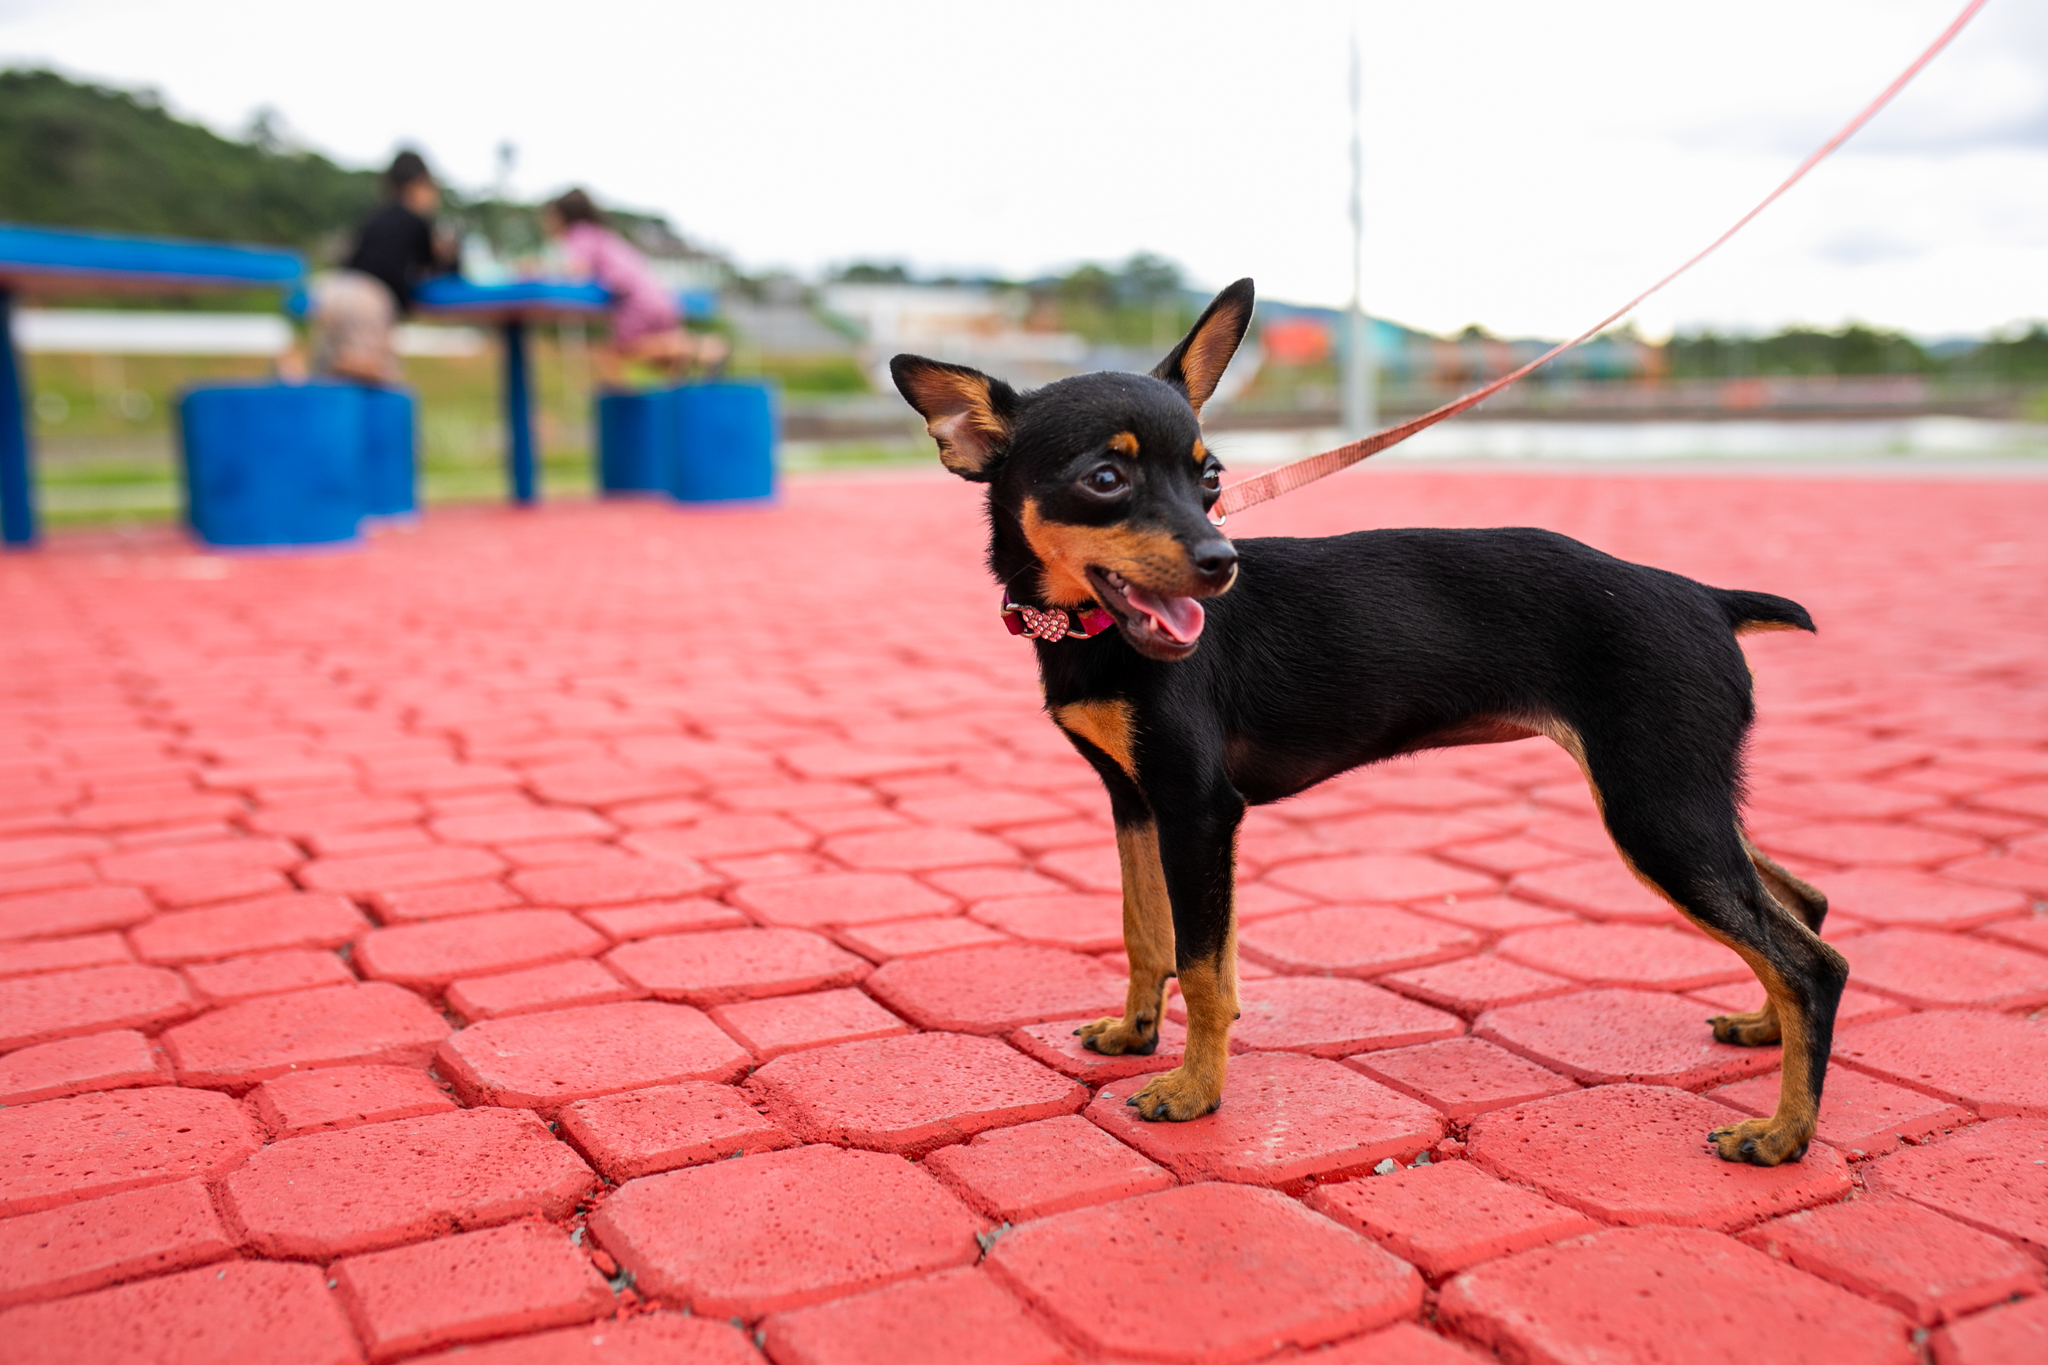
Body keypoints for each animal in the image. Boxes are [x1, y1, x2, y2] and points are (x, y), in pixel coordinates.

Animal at [888, 280, 1851, 1178]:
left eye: (1210, 478)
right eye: (1105, 480)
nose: (1221, 562)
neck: (1094, 634)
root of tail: (1708, 598)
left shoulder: (1199, 810)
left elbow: (1201, 964)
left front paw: (1194, 1092)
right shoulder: (1137, 803)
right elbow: (1148, 932)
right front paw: (1136, 1034)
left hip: (1655, 809)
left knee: (1813, 961)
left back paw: (1783, 1133)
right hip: (1682, 796)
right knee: (1800, 910)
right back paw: (1764, 1030)